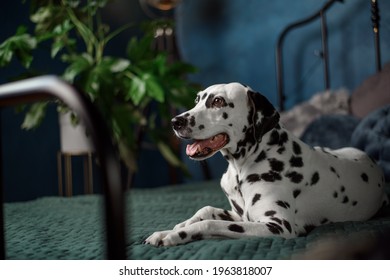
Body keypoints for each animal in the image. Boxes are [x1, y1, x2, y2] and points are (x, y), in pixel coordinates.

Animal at [145, 82, 388, 246]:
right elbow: (207, 210)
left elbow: (209, 224)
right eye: (197, 100)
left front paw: (175, 235)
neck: (243, 167)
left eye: (218, 101)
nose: (176, 121)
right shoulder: (241, 215)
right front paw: (173, 228)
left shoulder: (277, 227)